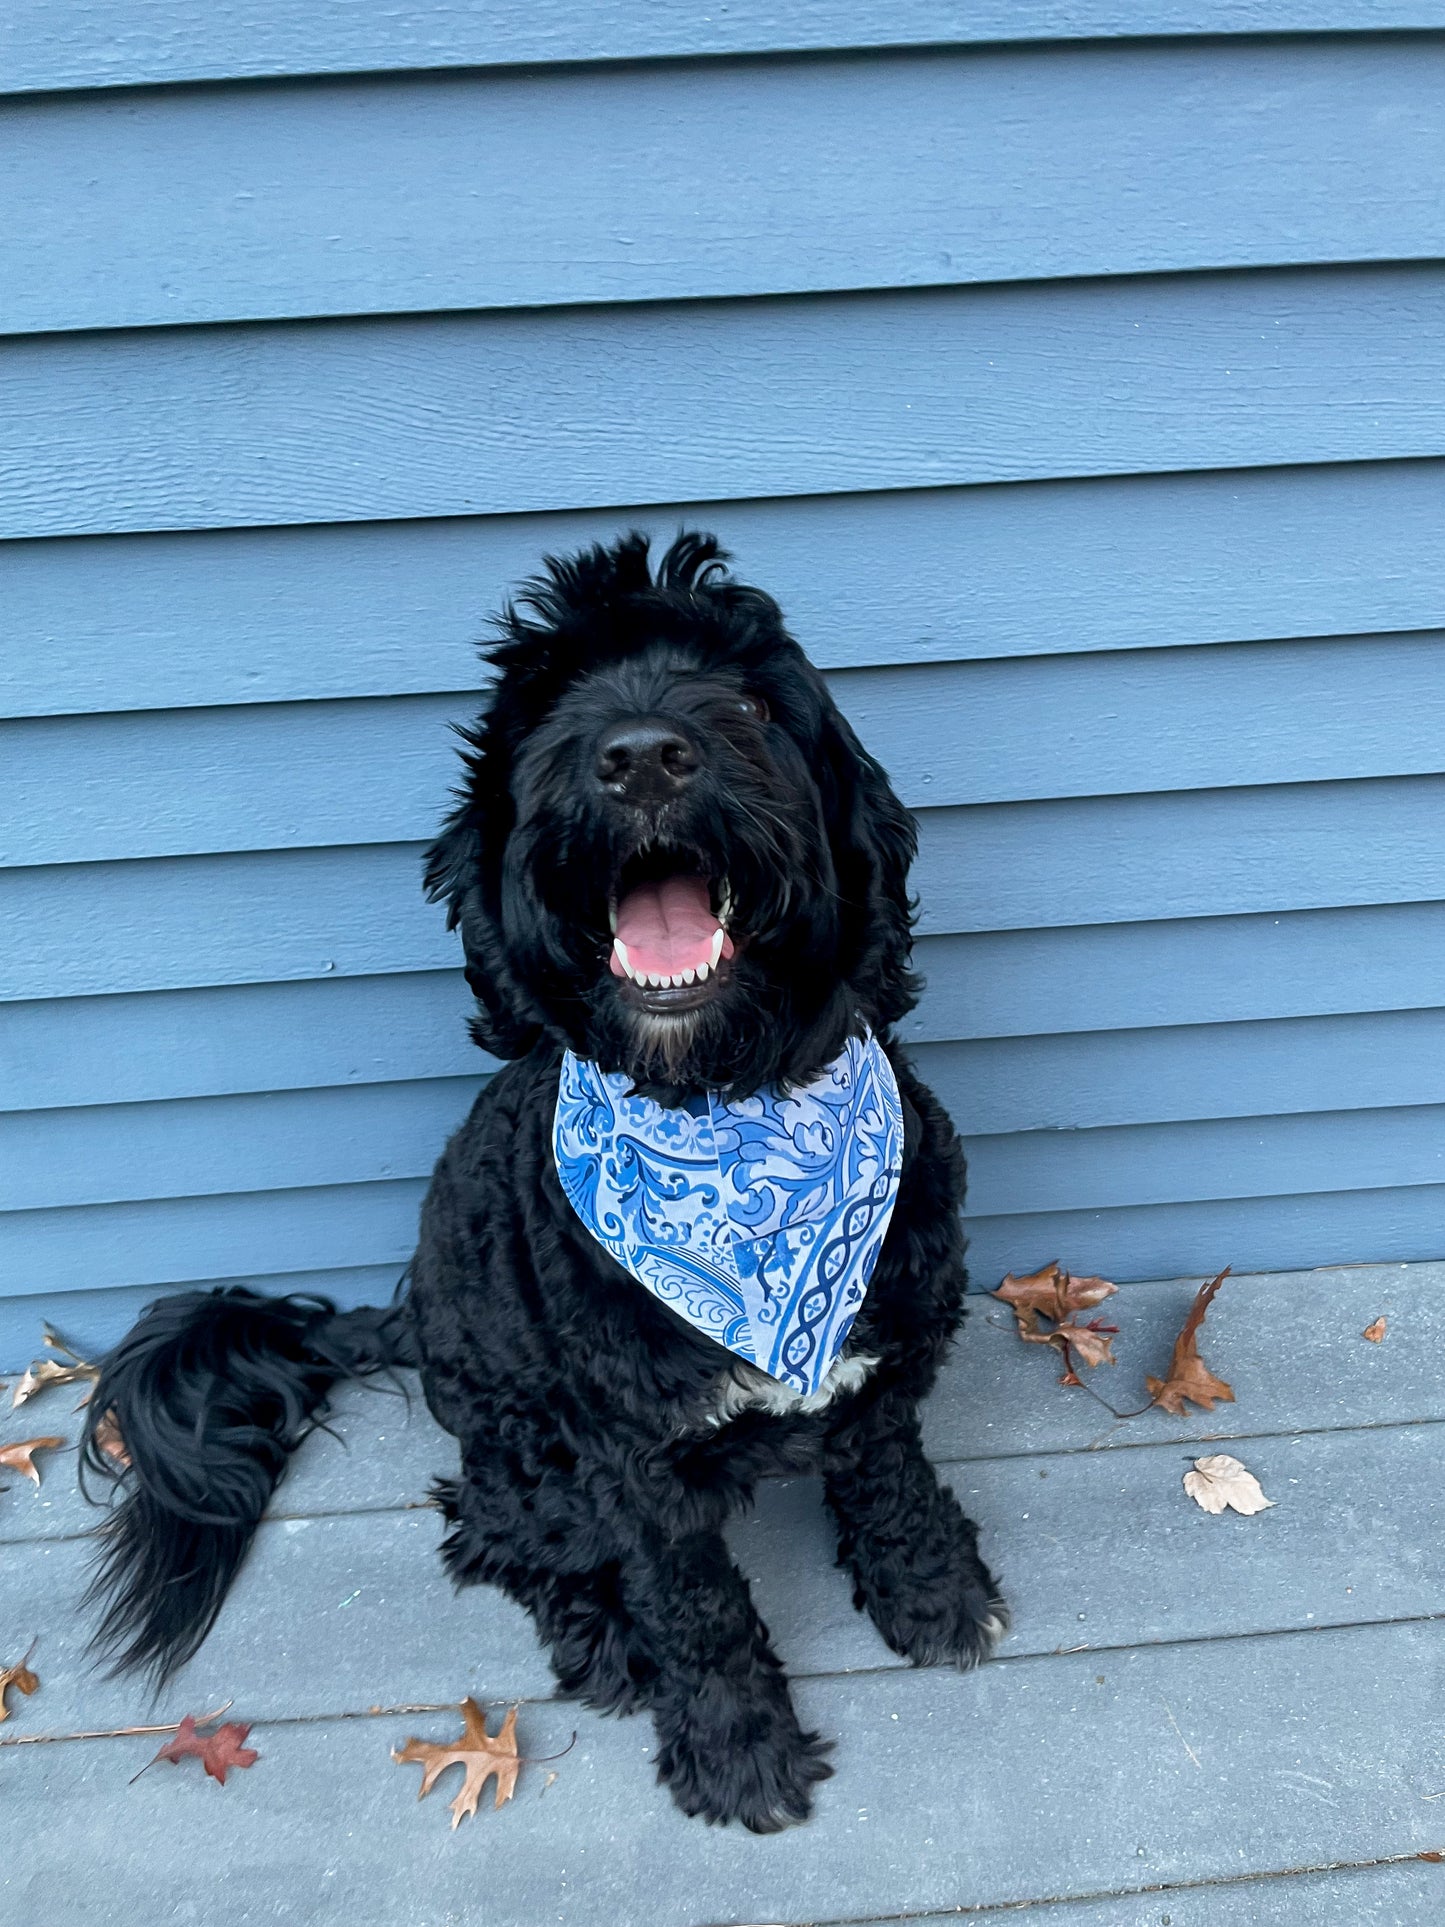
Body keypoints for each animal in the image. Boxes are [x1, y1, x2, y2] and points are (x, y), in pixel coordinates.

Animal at [78, 535, 1009, 1826]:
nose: (641, 754)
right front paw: (735, 1747)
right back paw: (603, 1636)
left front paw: (929, 1588)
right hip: (525, 1447)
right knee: (495, 1534)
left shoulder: (884, 1361)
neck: (728, 1115)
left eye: (752, 701)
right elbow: (696, 1607)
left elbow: (888, 1477)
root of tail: (406, 1317)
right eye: (554, 705)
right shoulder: (631, 1455)